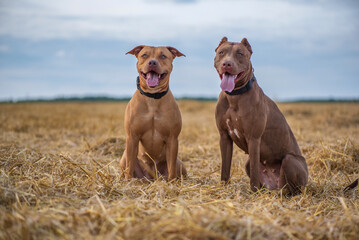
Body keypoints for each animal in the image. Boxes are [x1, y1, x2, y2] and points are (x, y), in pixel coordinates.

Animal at [121, 45, 188, 180]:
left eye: (163, 56)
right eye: (144, 55)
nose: (152, 62)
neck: (153, 97)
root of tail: (151, 177)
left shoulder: (172, 138)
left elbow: (171, 168)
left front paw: (172, 182)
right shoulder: (132, 137)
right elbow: (129, 166)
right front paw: (128, 182)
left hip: (180, 164)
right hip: (124, 156)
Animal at [214, 36, 310, 193]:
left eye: (240, 53)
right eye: (221, 52)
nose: (227, 63)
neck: (235, 95)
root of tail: (275, 186)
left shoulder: (253, 138)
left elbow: (254, 172)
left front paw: (253, 192)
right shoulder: (224, 136)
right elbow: (225, 167)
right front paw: (223, 187)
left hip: (290, 161)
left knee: (292, 187)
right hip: (249, 164)